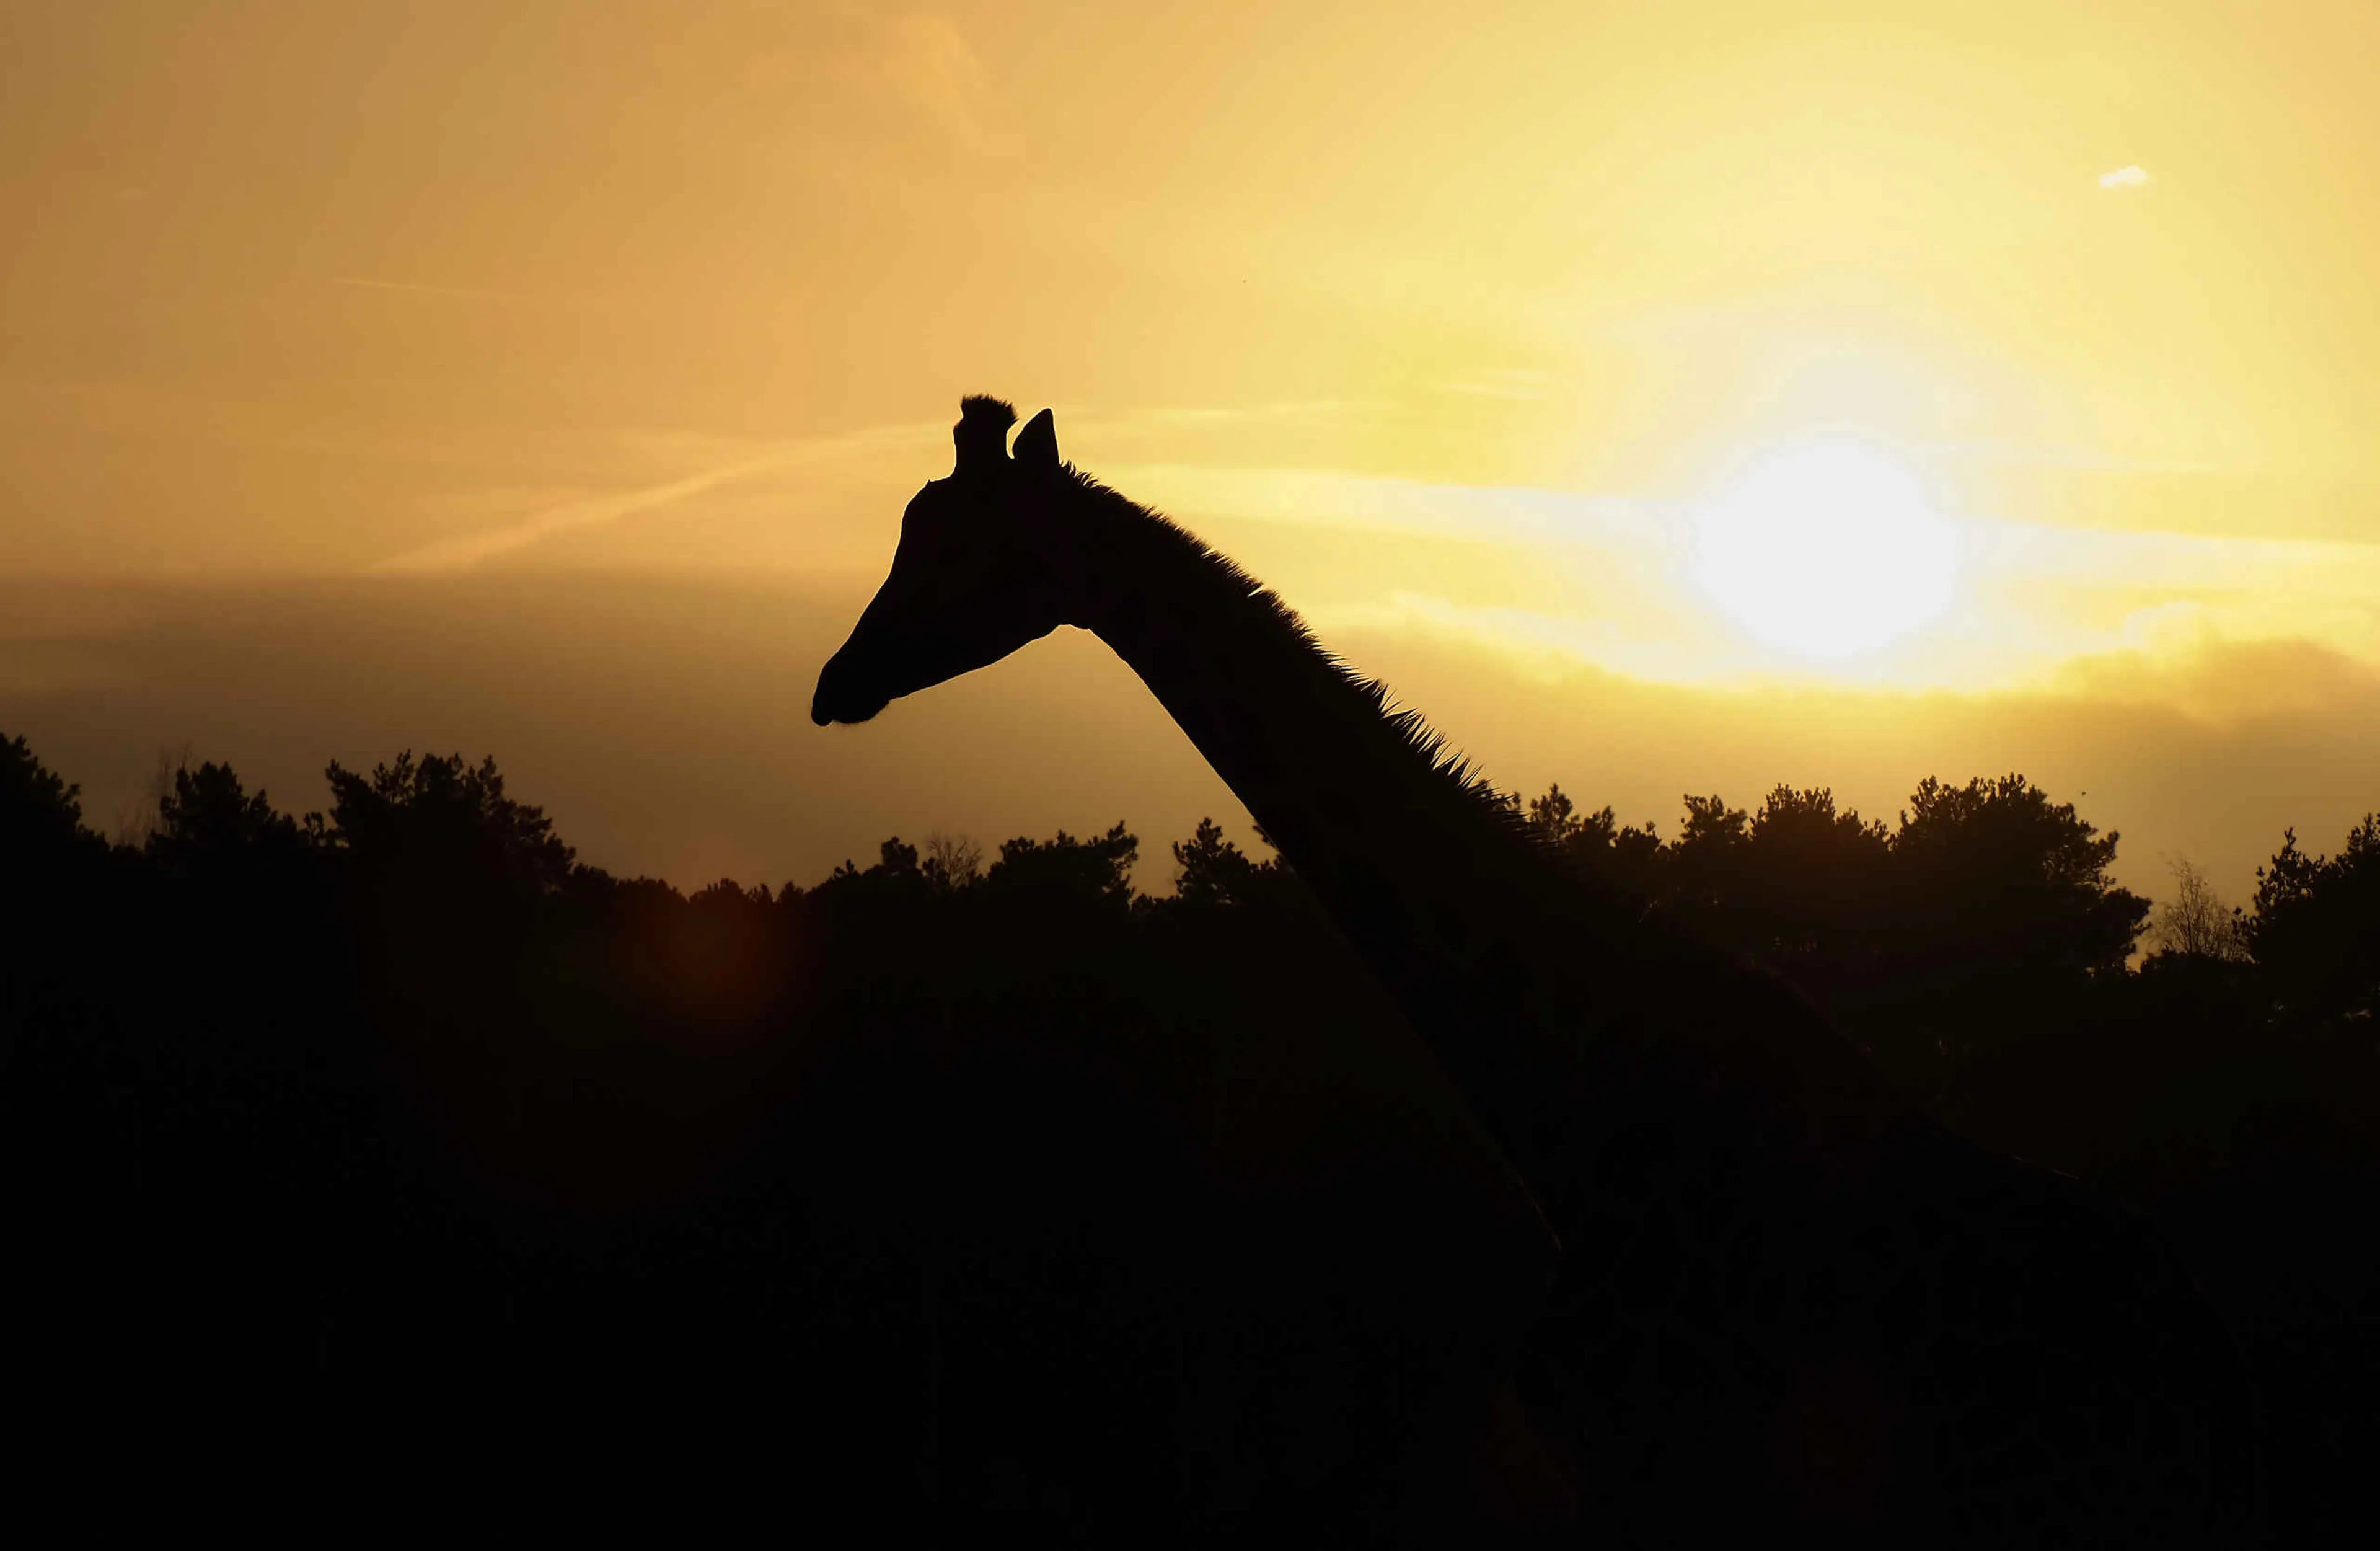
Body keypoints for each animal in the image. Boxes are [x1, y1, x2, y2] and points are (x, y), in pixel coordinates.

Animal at [811, 397, 2260, 1545]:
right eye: (905, 526)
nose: (835, 683)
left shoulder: (1658, 1467)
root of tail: (2205, 1373)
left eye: (952, 544)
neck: (1574, 1108)